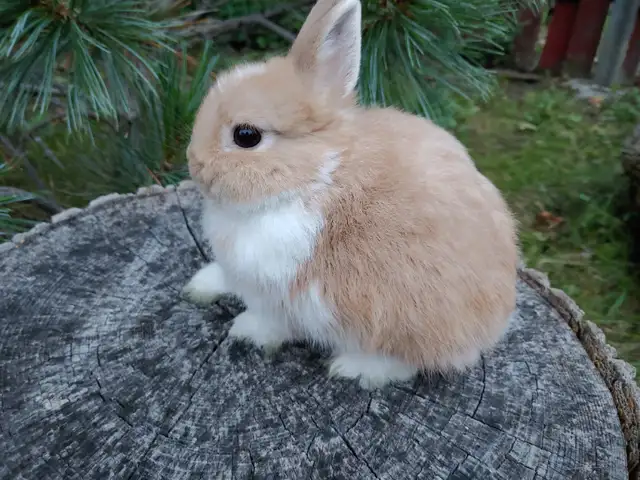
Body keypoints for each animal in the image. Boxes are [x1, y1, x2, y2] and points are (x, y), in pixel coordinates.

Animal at [182, 0, 519, 389]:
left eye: (246, 136)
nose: (194, 164)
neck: (316, 174)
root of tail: (494, 326)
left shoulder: (278, 293)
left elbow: (271, 321)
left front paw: (245, 331)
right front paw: (201, 285)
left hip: (402, 320)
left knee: (409, 362)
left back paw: (353, 368)